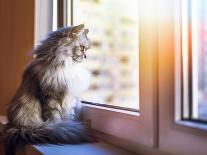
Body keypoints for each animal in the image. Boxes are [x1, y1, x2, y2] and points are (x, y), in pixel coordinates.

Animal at [3, 24, 94, 155]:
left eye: (86, 49)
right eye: (82, 48)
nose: (85, 56)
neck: (64, 67)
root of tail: (16, 127)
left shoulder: (70, 99)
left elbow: (69, 116)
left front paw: (68, 125)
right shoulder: (49, 96)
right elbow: (54, 117)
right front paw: (61, 126)